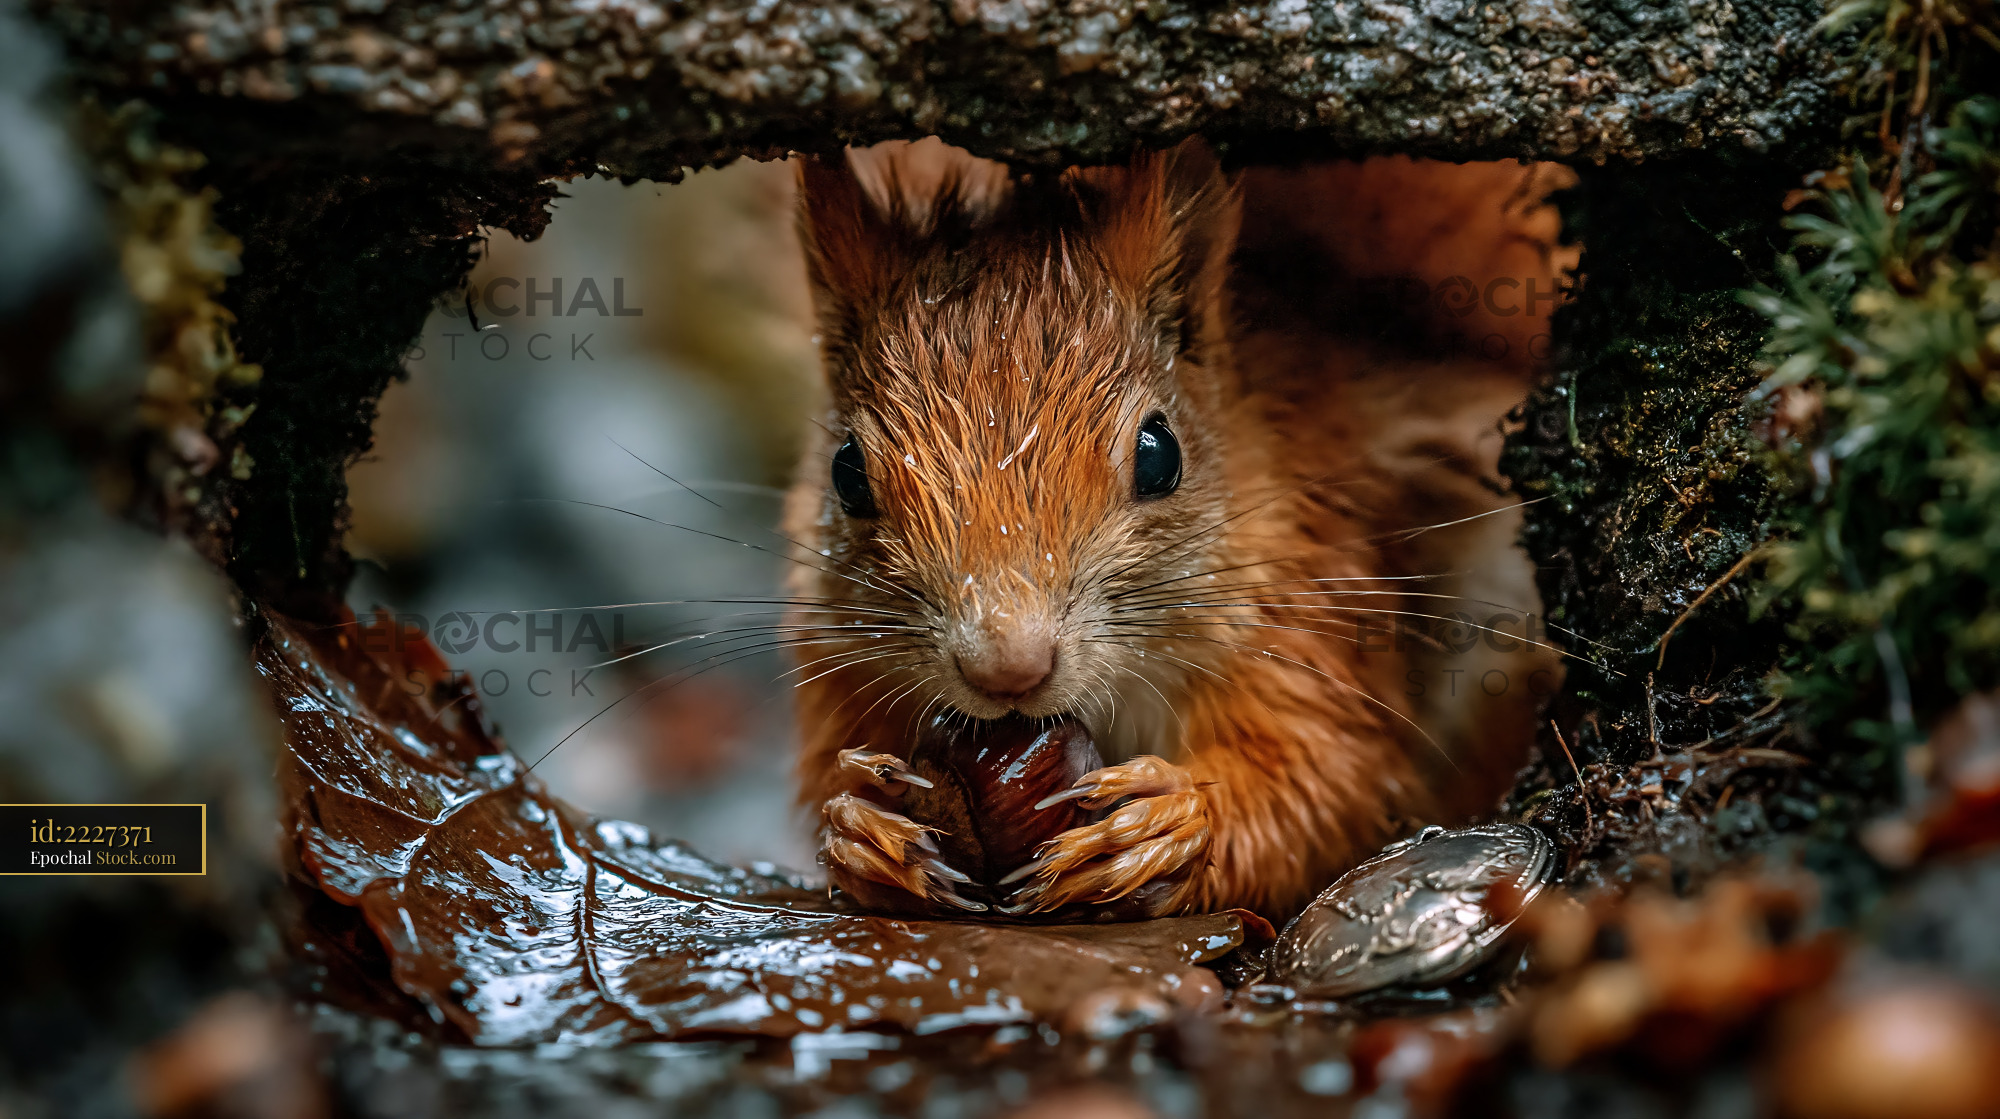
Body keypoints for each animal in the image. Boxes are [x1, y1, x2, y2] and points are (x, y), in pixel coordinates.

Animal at [782, 139, 1568, 922]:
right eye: (846, 471)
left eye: (1160, 454)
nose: (1007, 669)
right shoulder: (836, 656)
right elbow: (827, 770)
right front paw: (861, 826)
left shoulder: (1308, 610)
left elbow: (1324, 780)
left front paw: (1172, 823)